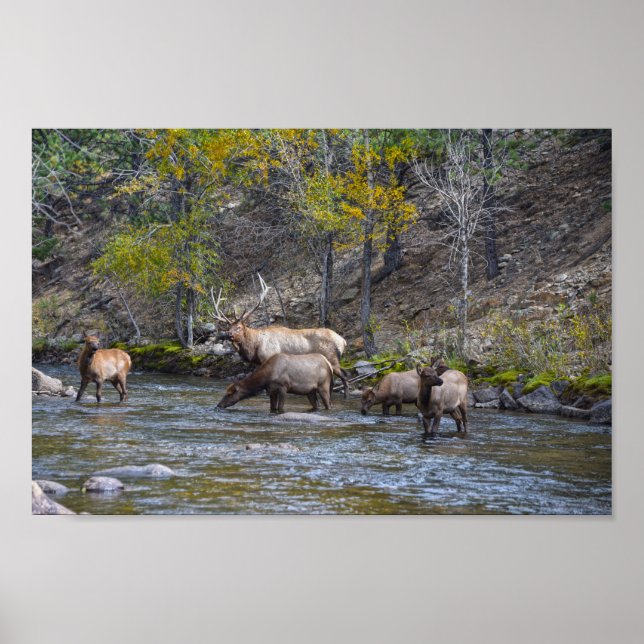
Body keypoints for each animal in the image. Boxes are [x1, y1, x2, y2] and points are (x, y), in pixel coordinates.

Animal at [211, 274, 350, 396]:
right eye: (229, 327)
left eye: (239, 327)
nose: (228, 335)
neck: (254, 347)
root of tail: (343, 341)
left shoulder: (268, 358)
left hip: (332, 358)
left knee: (344, 376)